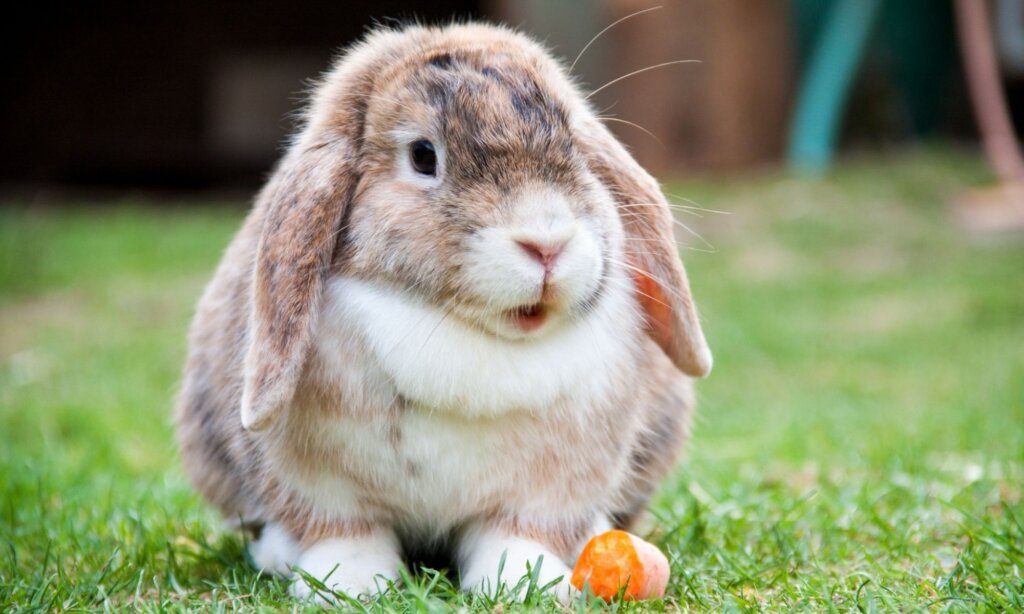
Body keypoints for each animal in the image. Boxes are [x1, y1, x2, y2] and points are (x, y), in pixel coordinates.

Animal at [176, 21, 708, 601]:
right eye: (423, 156)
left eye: (574, 144)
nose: (547, 244)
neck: (464, 332)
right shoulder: (321, 486)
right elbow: (346, 532)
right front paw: (348, 585)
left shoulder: (547, 490)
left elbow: (515, 535)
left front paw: (527, 584)